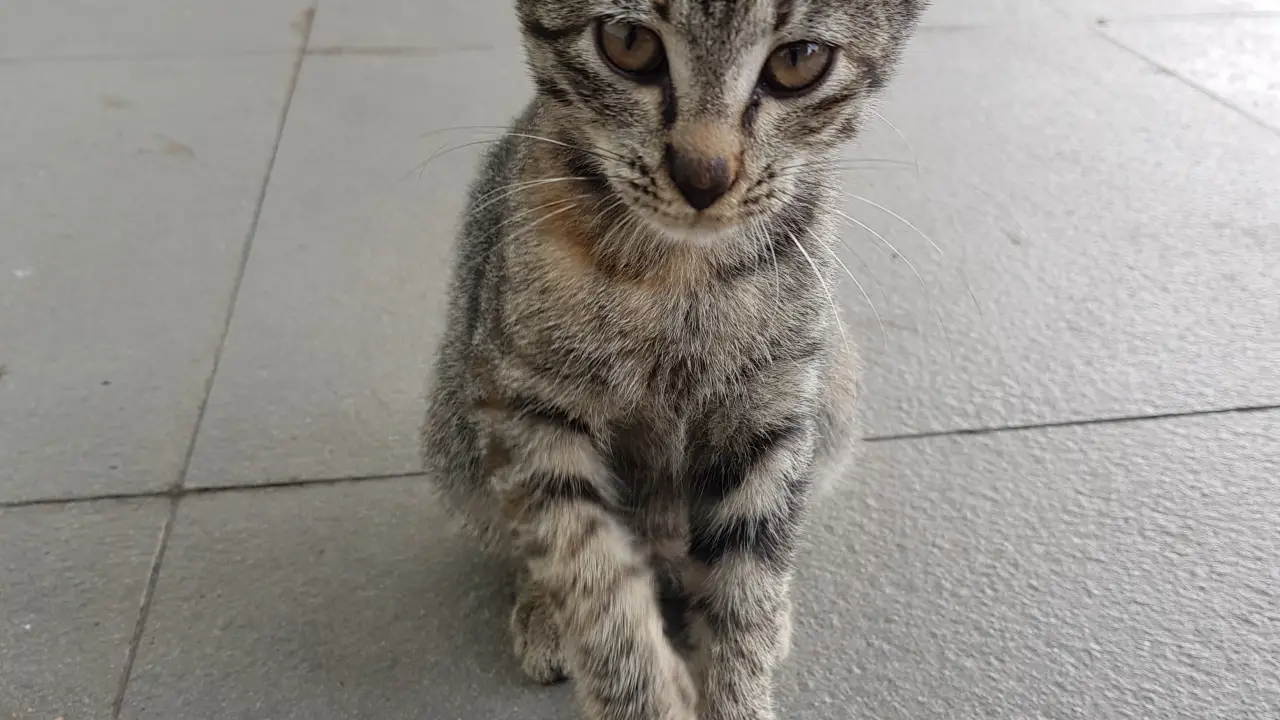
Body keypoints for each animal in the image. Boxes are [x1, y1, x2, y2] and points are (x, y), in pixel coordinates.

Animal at [424, 1, 926, 717]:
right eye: (628, 41)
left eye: (798, 60)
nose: (703, 176)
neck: (678, 275)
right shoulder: (527, 404)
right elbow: (591, 578)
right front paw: (640, 691)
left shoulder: (773, 410)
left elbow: (746, 583)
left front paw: (740, 688)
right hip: (456, 423)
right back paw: (543, 610)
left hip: (834, 391)